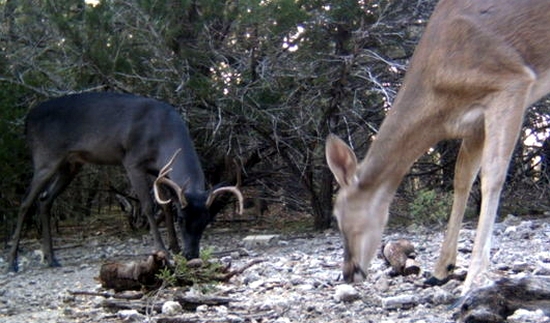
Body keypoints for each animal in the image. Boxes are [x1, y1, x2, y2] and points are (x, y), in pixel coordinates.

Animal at [6, 92, 244, 272]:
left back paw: (51, 258)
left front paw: (174, 247)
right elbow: (148, 207)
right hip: (45, 156)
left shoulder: (158, 170)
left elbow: (166, 206)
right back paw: (12, 262)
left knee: (45, 199)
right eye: (182, 219)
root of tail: (27, 120)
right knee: (26, 202)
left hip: (70, 164)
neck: (163, 135)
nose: (191, 254)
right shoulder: (132, 161)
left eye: (206, 221)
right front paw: (163, 251)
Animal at [328, 0, 550, 294]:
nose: (348, 273)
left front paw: (473, 278)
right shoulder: (473, 122)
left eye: (338, 216)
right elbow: (462, 178)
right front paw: (441, 269)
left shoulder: (511, 81)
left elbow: (492, 176)